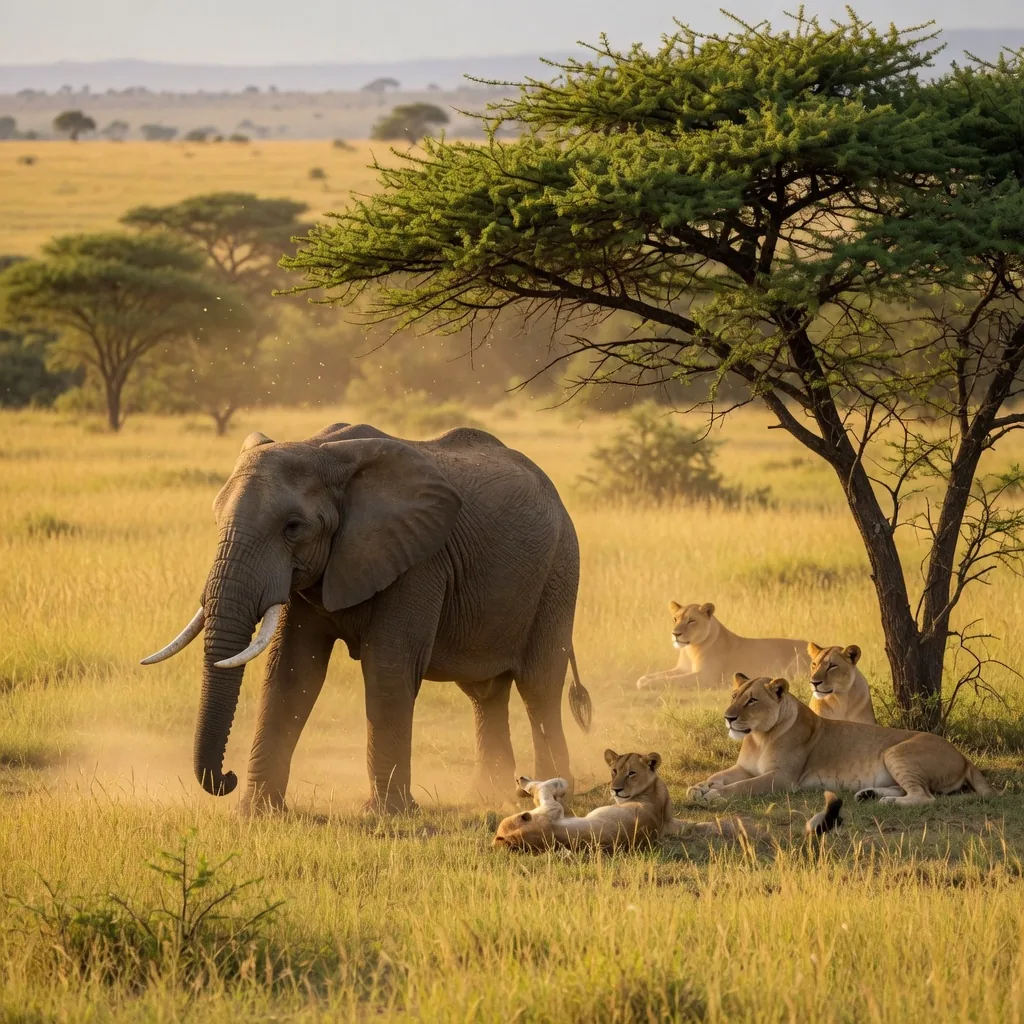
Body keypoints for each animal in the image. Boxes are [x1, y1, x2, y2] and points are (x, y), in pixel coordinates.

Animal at [142, 422, 592, 814]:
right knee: (486, 693)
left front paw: (387, 814)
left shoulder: (418, 560)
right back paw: (490, 795)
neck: (321, 451)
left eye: (293, 527)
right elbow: (291, 673)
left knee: (539, 687)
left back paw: (550, 792)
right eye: (216, 519)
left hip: (559, 570)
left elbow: (388, 668)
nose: (227, 778)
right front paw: (258, 813)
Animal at [493, 749, 843, 852]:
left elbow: (550, 790)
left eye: (630, 773)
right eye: (614, 770)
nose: (615, 789)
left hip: (548, 812)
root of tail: (506, 839)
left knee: (545, 791)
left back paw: (527, 782)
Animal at [636, 601, 810, 691]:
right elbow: (661, 675)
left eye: (691, 621)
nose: (675, 634)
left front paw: (647, 684)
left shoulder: (705, 677)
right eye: (675, 619)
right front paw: (643, 679)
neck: (690, 649)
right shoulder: (682, 668)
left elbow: (672, 680)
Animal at [686, 674, 996, 807]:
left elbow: (744, 787)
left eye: (752, 700)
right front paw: (698, 787)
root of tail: (963, 756)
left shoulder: (783, 778)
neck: (759, 737)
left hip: (897, 752)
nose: (728, 717)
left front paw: (714, 795)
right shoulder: (745, 767)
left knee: (925, 797)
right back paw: (867, 794)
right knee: (908, 789)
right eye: (734, 696)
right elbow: (719, 775)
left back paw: (886, 802)